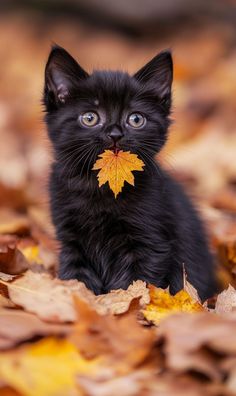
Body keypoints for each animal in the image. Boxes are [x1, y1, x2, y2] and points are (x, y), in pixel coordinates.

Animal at [43, 44, 217, 300]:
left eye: (135, 119)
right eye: (90, 117)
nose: (115, 134)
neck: (100, 186)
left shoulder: (149, 242)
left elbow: (136, 283)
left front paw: (124, 304)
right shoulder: (71, 241)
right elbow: (77, 277)